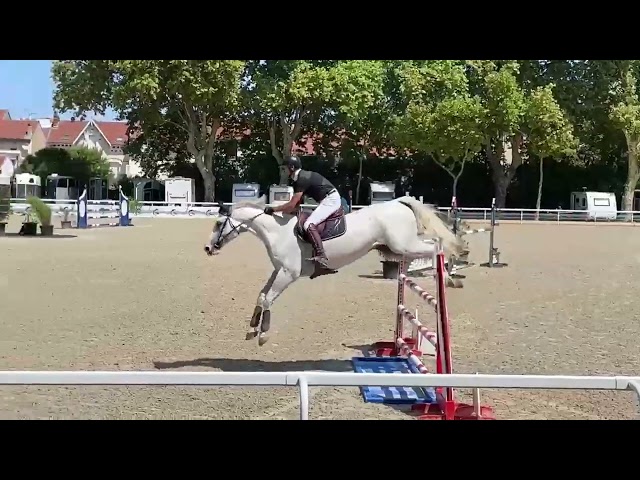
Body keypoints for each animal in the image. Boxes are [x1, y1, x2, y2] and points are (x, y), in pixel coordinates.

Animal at [204, 195, 467, 346]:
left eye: (218, 223)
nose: (207, 248)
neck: (277, 231)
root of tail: (398, 203)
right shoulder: (278, 271)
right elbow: (261, 296)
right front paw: (251, 329)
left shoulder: (288, 275)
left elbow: (268, 299)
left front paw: (263, 335)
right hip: (399, 247)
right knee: (432, 246)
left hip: (404, 245)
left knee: (436, 246)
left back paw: (448, 276)